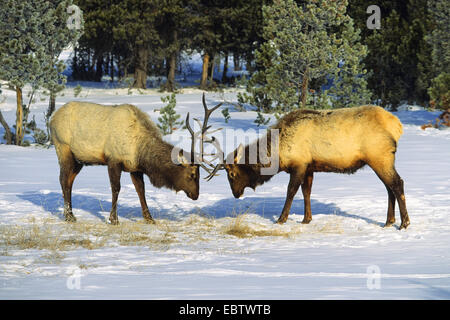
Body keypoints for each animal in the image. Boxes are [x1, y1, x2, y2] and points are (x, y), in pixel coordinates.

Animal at [49, 100, 216, 225]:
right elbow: (116, 189)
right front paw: (114, 219)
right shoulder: (113, 160)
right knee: (63, 180)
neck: (140, 151)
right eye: (192, 174)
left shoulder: (135, 167)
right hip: (63, 148)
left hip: (79, 159)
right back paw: (68, 216)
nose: (196, 195)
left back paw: (70, 214)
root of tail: (52, 117)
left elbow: (141, 190)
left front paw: (149, 218)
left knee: (69, 181)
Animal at [208, 107, 412, 230]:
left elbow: (291, 191)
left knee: (397, 183)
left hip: (379, 157)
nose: (235, 194)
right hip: (383, 159)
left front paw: (281, 219)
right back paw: (389, 221)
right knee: (389, 188)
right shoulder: (309, 167)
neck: (278, 153)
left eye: (232, 174)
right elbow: (307, 191)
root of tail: (397, 125)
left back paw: (404, 223)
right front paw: (307, 219)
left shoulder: (299, 165)